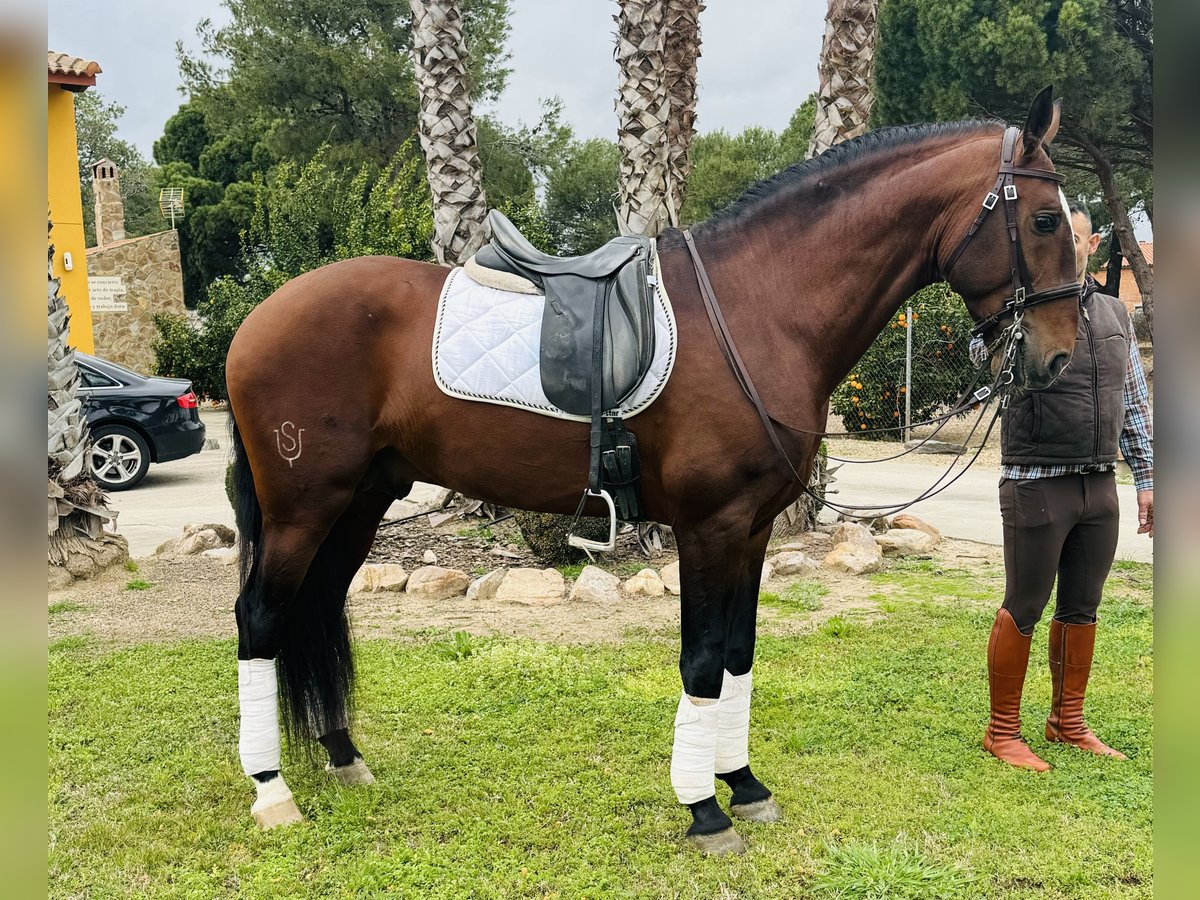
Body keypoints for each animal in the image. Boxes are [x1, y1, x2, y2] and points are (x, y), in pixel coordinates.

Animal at [223, 88, 1080, 854]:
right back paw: (271, 793)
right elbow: (701, 660)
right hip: (304, 506)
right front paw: (704, 810)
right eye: (1044, 220)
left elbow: (738, 655)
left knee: (318, 608)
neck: (759, 308)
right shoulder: (710, 528)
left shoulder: (753, 531)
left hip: (361, 500)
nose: (1059, 356)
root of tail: (258, 318)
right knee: (261, 620)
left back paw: (344, 759)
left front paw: (744, 785)